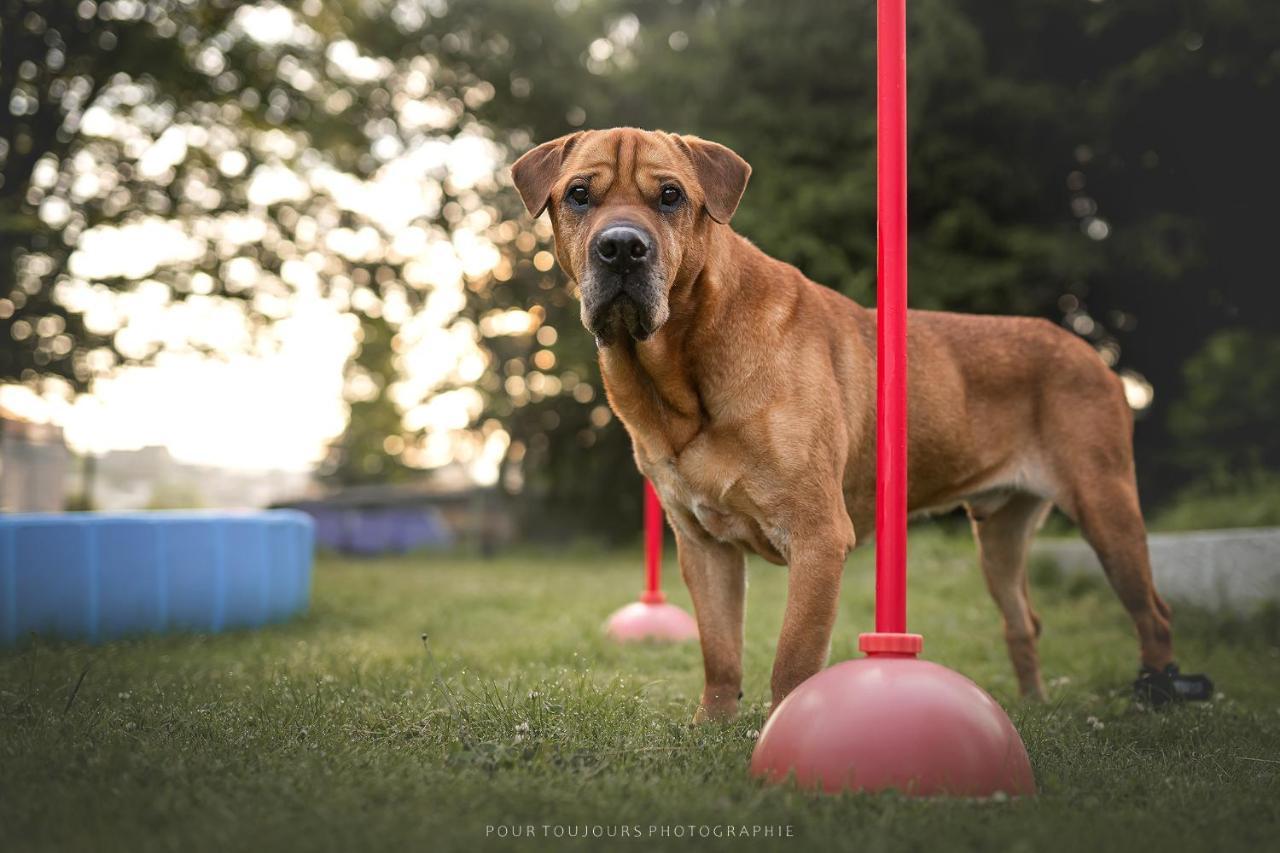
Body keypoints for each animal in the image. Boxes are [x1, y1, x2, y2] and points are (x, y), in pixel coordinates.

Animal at [514, 126, 1203, 717]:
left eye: (670, 196)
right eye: (579, 194)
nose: (621, 247)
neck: (680, 366)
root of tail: (1092, 355)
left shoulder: (818, 536)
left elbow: (792, 663)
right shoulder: (704, 547)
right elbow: (721, 657)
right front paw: (713, 728)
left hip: (1106, 508)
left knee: (1155, 614)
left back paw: (1159, 698)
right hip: (1001, 537)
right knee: (1023, 622)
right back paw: (1034, 709)